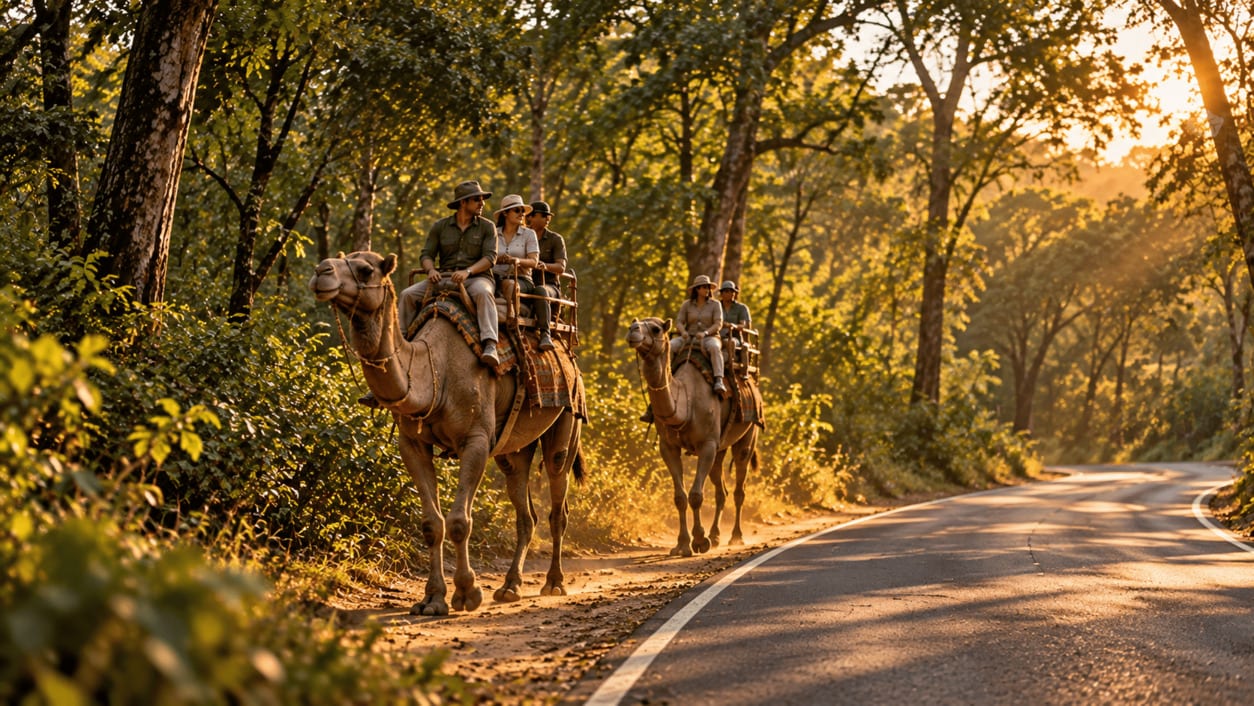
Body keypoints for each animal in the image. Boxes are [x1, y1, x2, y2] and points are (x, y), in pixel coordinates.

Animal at [310, 251, 583, 615]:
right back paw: (510, 587)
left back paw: (554, 583)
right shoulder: (412, 442)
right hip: (513, 449)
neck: (433, 370)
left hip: (569, 417)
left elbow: (458, 522)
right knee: (526, 510)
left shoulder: (476, 440)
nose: (321, 271)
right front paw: (432, 599)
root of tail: (568, 353)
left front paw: (467, 593)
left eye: (366, 269)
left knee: (557, 496)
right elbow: (432, 524)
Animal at [627, 317, 761, 556]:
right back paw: (715, 535)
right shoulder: (668, 446)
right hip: (720, 448)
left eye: (656, 329)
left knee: (739, 486)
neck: (685, 402)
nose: (632, 331)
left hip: (747, 436)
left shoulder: (707, 444)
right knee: (721, 490)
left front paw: (699, 541)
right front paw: (681, 545)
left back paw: (736, 536)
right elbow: (680, 497)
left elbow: (696, 496)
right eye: (636, 322)